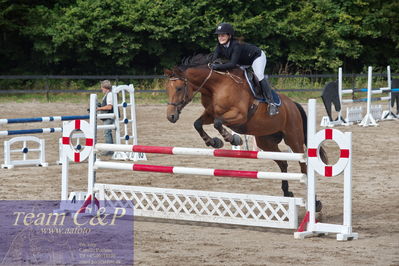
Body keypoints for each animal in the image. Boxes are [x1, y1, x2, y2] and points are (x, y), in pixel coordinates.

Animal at [164, 54, 326, 210]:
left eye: (179, 88)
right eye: (167, 89)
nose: (171, 116)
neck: (216, 86)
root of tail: (293, 104)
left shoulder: (239, 115)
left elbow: (218, 123)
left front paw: (233, 139)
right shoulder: (210, 114)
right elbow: (198, 124)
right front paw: (213, 142)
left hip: (293, 138)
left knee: (303, 166)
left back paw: (316, 203)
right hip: (266, 141)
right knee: (283, 163)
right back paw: (287, 192)